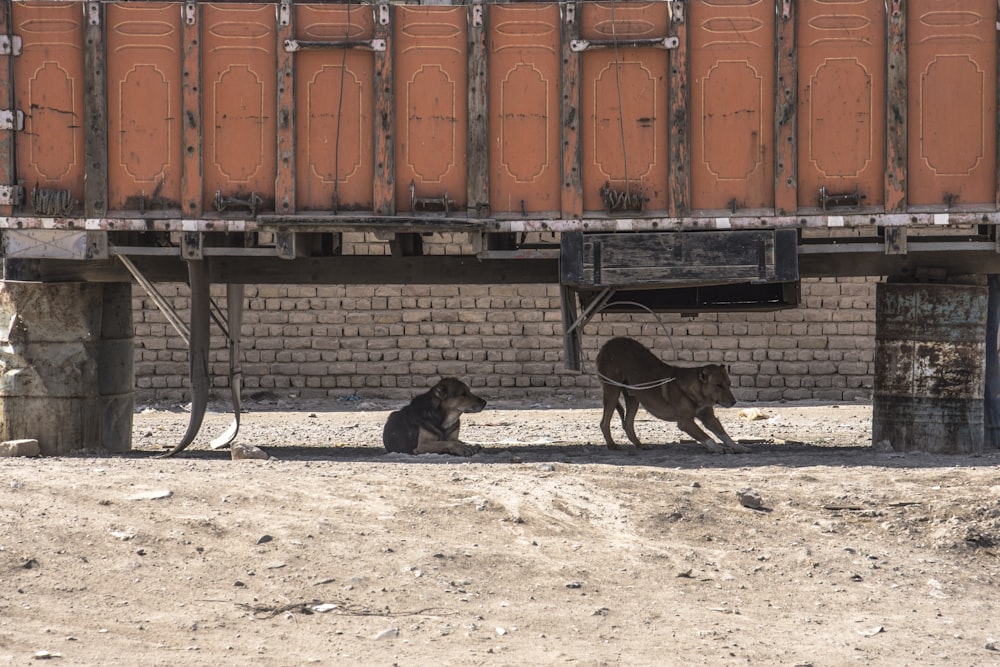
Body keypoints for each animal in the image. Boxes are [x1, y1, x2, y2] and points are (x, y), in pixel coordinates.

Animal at [592, 340, 752, 454]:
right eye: (718, 385)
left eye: (729, 384)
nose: (734, 402)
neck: (696, 391)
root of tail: (608, 344)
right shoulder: (685, 422)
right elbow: (705, 436)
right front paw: (718, 448)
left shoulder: (709, 418)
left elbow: (723, 434)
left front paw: (736, 446)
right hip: (612, 391)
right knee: (604, 422)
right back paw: (612, 445)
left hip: (633, 398)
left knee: (627, 424)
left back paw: (639, 445)